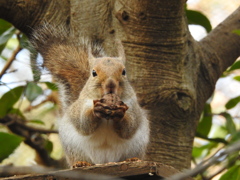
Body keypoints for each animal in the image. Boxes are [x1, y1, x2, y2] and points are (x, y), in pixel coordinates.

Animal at [30, 24, 150, 167]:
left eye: (124, 72)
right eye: (93, 73)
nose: (110, 84)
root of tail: (103, 162)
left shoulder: (132, 107)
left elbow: (129, 128)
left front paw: (120, 112)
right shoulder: (81, 106)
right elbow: (84, 124)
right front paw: (96, 110)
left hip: (136, 147)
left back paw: (132, 159)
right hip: (74, 147)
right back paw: (81, 163)